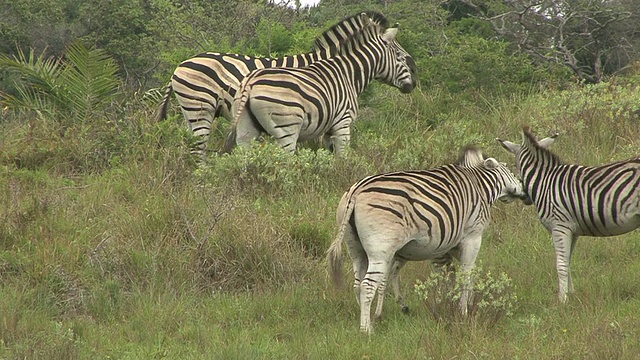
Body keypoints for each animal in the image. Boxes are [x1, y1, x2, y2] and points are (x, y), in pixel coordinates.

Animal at [222, 10, 418, 155]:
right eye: (399, 56)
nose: (415, 80)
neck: (348, 73)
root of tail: (250, 82)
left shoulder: (328, 130)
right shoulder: (343, 123)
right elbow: (342, 158)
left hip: (245, 128)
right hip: (286, 128)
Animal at [328, 146, 528, 334]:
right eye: (510, 170)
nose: (525, 192)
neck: (479, 185)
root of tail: (356, 191)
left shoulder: (449, 244)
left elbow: (453, 275)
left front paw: (453, 303)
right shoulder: (473, 236)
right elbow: (466, 275)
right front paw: (463, 312)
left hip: (356, 248)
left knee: (357, 284)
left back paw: (366, 319)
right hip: (381, 248)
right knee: (368, 285)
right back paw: (366, 330)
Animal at [498, 125, 640, 302]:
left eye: (515, 166)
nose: (524, 197)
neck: (544, 181)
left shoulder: (559, 227)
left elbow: (561, 264)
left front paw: (562, 300)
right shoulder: (573, 230)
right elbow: (568, 260)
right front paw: (572, 295)